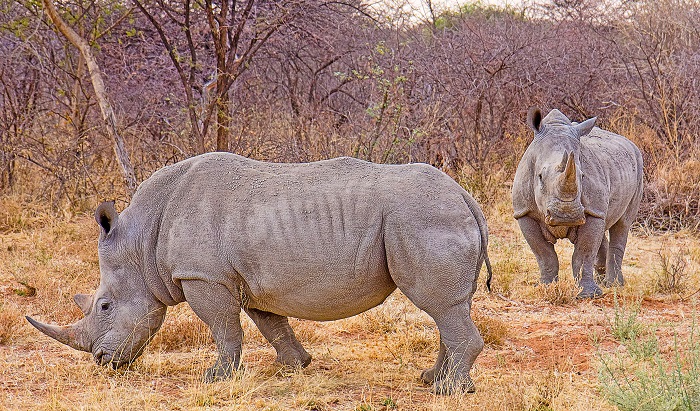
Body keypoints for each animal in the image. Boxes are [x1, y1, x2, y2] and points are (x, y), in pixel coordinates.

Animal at [26, 153, 492, 395]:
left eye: (104, 306)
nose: (102, 361)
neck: (141, 243)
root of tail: (465, 196)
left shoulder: (203, 276)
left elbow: (223, 328)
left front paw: (215, 378)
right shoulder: (249, 279)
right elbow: (272, 323)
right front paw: (295, 366)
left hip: (422, 217)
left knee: (439, 305)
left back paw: (449, 391)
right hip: (432, 216)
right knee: (449, 307)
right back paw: (432, 379)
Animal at [512, 108, 643, 298]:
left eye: (582, 176)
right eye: (540, 177)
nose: (566, 215)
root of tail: (630, 144)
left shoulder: (592, 210)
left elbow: (584, 252)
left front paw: (588, 295)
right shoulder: (524, 212)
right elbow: (544, 254)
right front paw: (545, 287)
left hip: (639, 166)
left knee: (622, 224)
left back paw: (614, 285)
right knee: (604, 225)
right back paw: (602, 280)